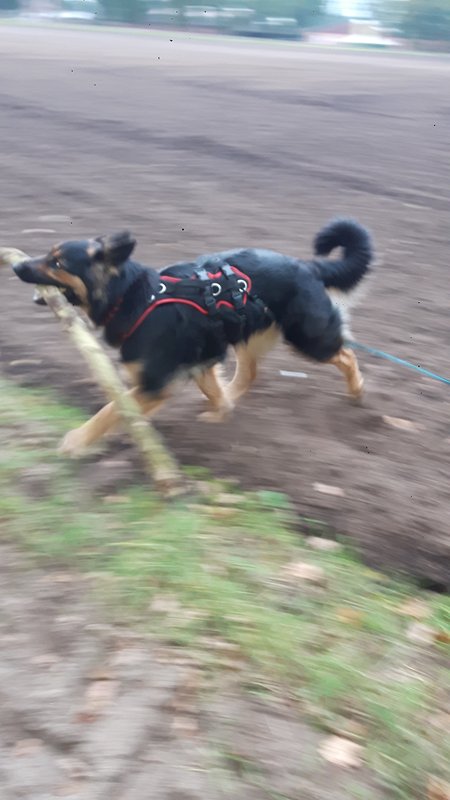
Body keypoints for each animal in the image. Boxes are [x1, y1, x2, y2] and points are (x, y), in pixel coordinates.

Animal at [12, 218, 373, 456]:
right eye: (49, 254)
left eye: (57, 262)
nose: (16, 267)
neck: (133, 297)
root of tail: (307, 266)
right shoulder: (199, 359)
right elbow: (211, 391)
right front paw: (221, 412)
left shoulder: (156, 383)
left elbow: (112, 410)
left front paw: (75, 442)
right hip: (245, 331)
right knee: (251, 372)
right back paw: (230, 397)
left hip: (308, 337)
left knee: (346, 354)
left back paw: (357, 391)